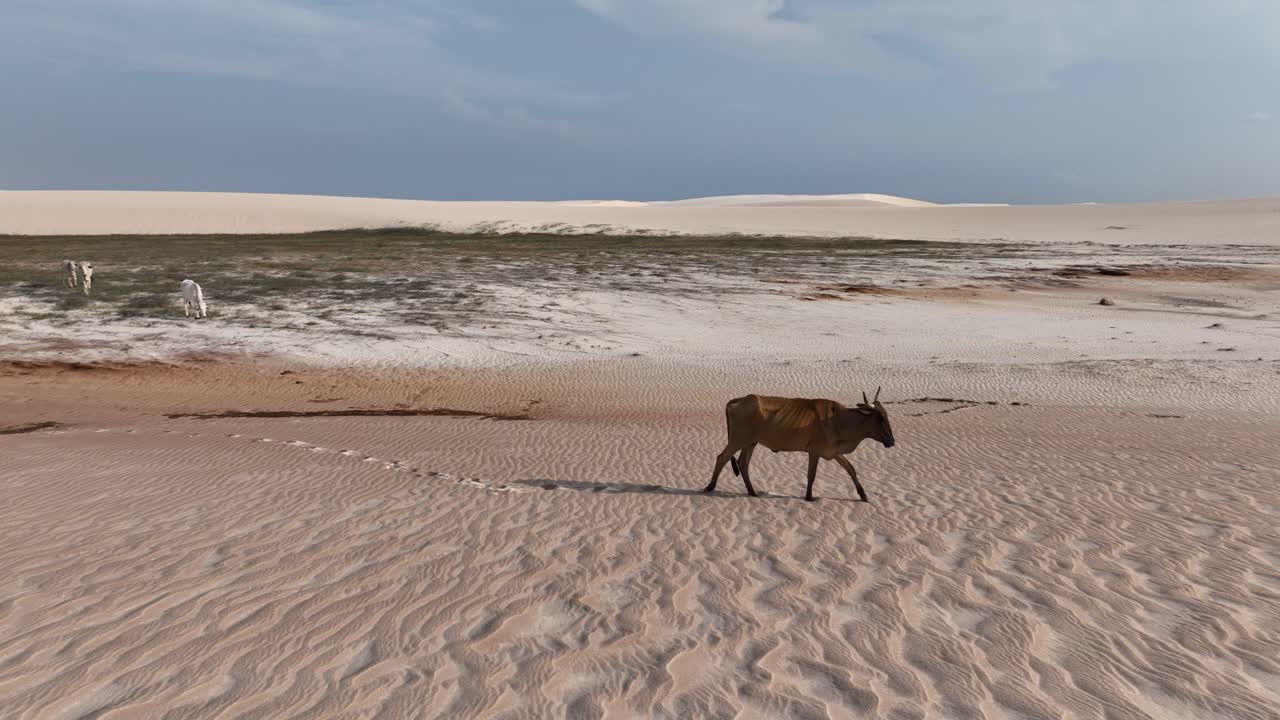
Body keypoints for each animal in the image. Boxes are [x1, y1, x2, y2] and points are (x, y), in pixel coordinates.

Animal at [704, 388, 896, 502]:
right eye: (880, 418)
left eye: (887, 415)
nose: (892, 441)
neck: (839, 420)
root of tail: (739, 399)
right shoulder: (815, 451)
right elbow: (811, 475)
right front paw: (809, 496)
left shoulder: (833, 452)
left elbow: (851, 469)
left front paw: (863, 495)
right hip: (738, 440)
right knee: (722, 458)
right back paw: (710, 487)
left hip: (750, 442)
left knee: (743, 464)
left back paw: (752, 492)